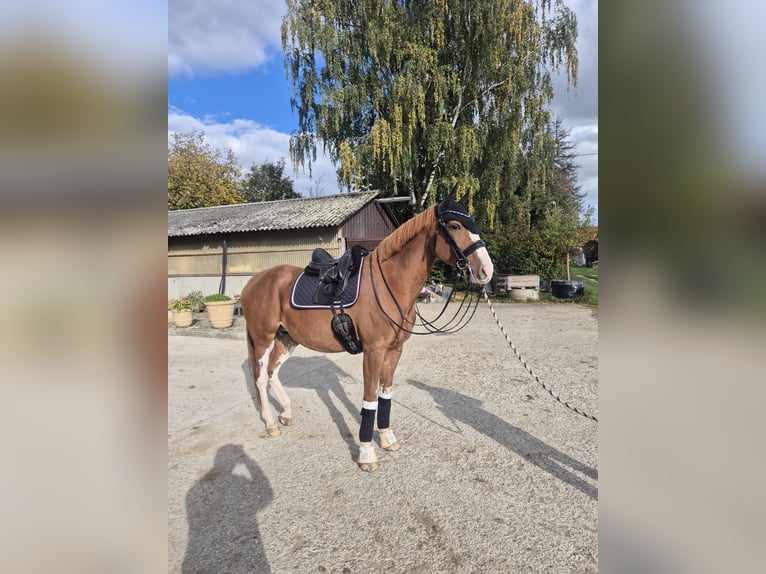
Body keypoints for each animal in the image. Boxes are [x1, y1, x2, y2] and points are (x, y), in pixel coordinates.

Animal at [239, 187, 494, 471]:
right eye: (455, 225)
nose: (486, 270)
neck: (389, 285)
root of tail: (254, 281)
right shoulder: (374, 351)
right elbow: (370, 399)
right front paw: (366, 453)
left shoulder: (394, 350)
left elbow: (385, 395)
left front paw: (386, 438)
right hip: (263, 338)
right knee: (260, 378)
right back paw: (271, 424)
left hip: (287, 338)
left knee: (273, 372)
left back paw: (285, 413)